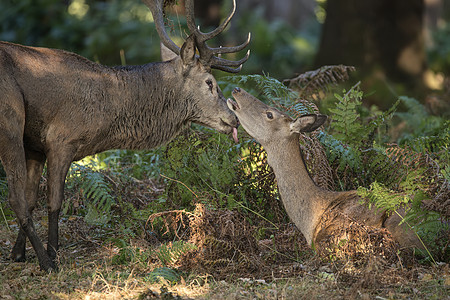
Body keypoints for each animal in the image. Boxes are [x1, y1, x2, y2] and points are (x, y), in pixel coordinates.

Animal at [0, 0, 250, 272]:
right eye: (209, 82)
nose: (234, 119)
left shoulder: (35, 146)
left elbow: (32, 200)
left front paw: (18, 253)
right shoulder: (61, 140)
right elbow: (52, 202)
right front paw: (52, 255)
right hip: (9, 119)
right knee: (14, 198)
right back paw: (47, 264)